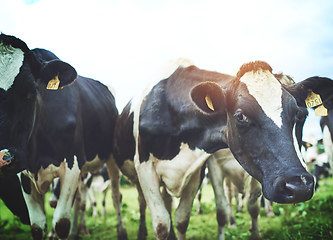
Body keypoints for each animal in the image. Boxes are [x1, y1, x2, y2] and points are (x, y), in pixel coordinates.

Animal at [0, 34, 126, 240]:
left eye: (32, 90)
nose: (3, 158)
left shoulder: (71, 165)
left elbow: (61, 224)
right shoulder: (24, 173)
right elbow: (37, 226)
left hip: (112, 158)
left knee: (115, 195)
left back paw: (120, 231)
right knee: (80, 199)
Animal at [112, 58, 333, 240]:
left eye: (299, 114)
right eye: (241, 116)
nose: (299, 185)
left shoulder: (196, 170)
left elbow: (182, 219)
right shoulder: (145, 168)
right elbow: (162, 224)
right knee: (140, 202)